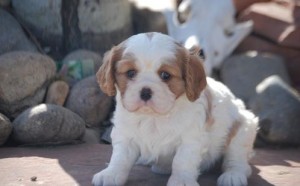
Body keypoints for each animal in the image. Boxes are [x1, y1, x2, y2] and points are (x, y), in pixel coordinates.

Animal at [92, 32, 256, 185]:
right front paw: (110, 174)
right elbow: (120, 158)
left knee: (237, 160)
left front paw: (181, 181)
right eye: (130, 73)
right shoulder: (125, 135)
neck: (153, 117)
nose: (145, 92)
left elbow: (182, 161)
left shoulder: (191, 139)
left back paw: (233, 176)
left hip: (242, 129)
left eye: (165, 75)